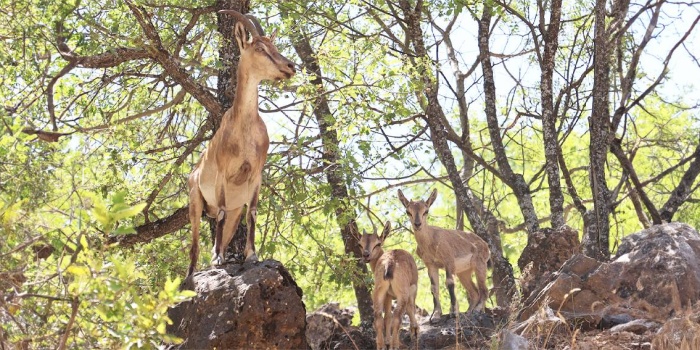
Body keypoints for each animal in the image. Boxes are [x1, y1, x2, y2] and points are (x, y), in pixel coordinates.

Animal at [186, 10, 296, 278]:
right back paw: (194, 273)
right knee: (194, 245)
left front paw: (252, 255)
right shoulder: (222, 175)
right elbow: (221, 212)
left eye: (274, 45)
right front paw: (218, 259)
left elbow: (253, 211)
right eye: (259, 47)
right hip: (195, 201)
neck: (244, 128)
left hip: (234, 213)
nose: (290, 66)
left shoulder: (256, 174)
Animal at [358, 221, 418, 350]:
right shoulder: (412, 289)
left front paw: (387, 341)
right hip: (402, 294)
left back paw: (381, 345)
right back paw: (395, 344)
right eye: (360, 244)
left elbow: (387, 317)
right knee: (397, 317)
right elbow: (411, 308)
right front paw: (414, 330)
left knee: (378, 317)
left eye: (378, 243)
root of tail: (389, 263)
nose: (366, 255)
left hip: (378, 291)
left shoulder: (387, 295)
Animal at [400, 190, 492, 322]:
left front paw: (453, 313)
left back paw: (477, 310)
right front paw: (435, 315)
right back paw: (469, 311)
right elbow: (434, 287)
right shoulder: (431, 265)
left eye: (426, 210)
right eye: (408, 211)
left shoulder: (449, 261)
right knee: (474, 292)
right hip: (463, 272)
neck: (430, 241)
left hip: (480, 265)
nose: (418, 224)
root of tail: (485, 245)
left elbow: (449, 283)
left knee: (484, 290)